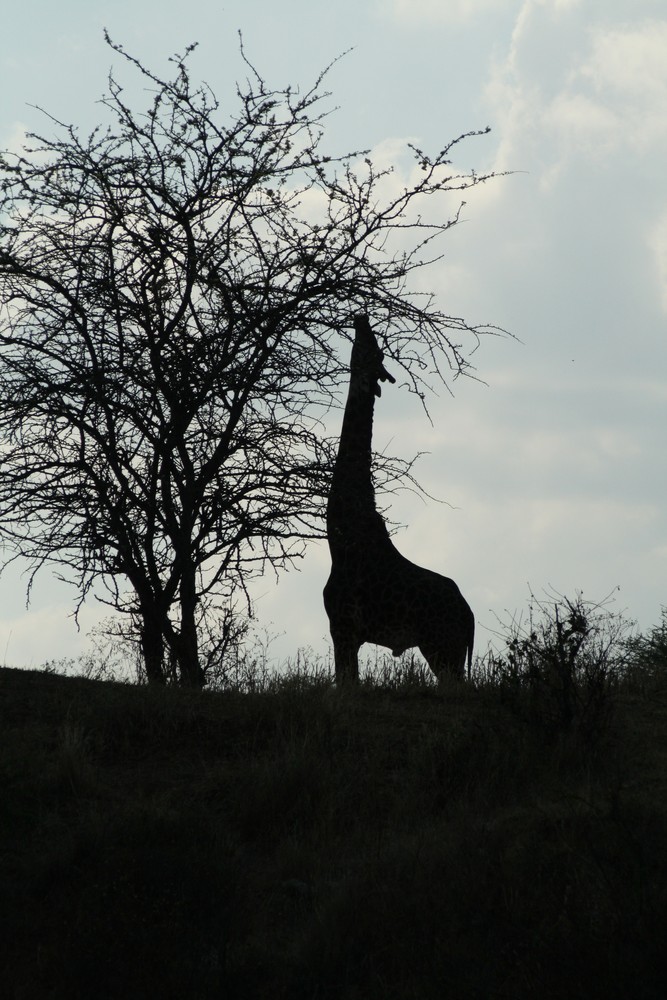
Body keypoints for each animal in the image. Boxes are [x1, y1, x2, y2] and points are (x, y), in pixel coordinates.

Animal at [324, 316, 474, 684]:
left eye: (372, 349)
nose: (361, 318)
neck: (340, 540)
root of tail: (469, 614)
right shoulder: (347, 633)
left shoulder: (343, 628)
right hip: (448, 651)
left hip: (443, 650)